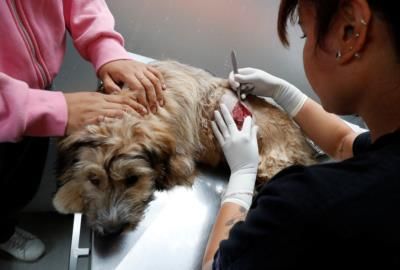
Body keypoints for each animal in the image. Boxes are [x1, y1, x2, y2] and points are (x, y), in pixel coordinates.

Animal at [53, 60, 318, 235]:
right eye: (94, 180)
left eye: (133, 179)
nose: (111, 230)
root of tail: (309, 149)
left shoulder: (181, 162)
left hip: (270, 165)